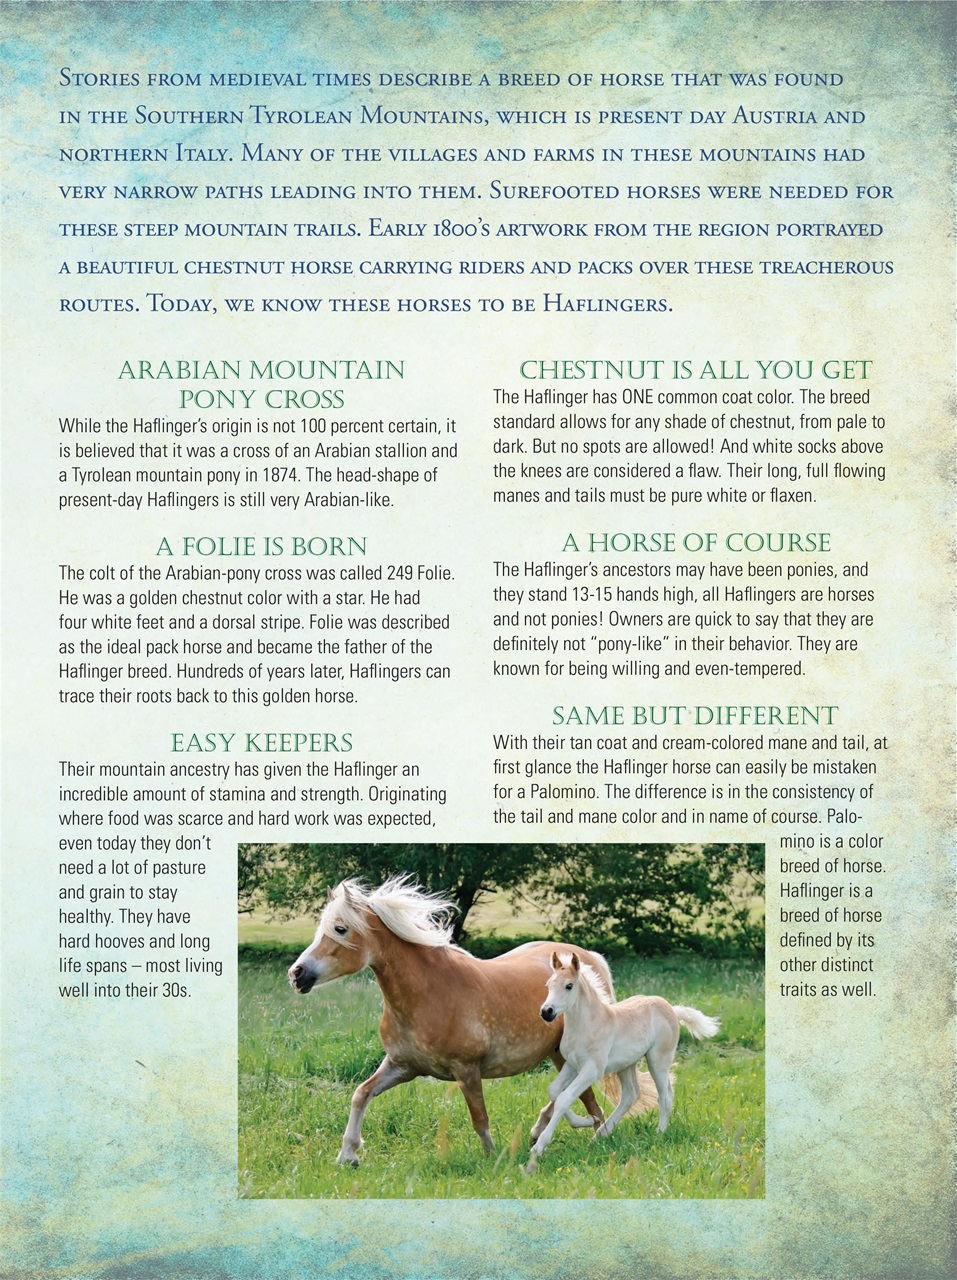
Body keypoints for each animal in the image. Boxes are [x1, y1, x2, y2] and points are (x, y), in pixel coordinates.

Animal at [287, 876, 659, 1166]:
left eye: (340, 928)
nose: (297, 974)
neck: (429, 993)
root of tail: (589, 959)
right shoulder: (402, 1066)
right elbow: (361, 1094)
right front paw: (348, 1155)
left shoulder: (466, 1070)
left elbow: (480, 1119)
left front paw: (494, 1160)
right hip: (558, 1055)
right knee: (569, 1094)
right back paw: (542, 1131)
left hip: (569, 1056)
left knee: (587, 1099)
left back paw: (590, 1137)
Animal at [528, 951, 720, 1167]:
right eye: (549, 984)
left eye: (569, 986)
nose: (546, 1012)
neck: (588, 1024)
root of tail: (671, 1008)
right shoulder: (572, 1065)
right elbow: (553, 1091)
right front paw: (589, 1120)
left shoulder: (591, 1070)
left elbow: (564, 1098)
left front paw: (539, 1147)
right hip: (626, 1064)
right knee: (631, 1094)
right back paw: (600, 1135)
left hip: (658, 1061)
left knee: (664, 1096)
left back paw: (659, 1134)